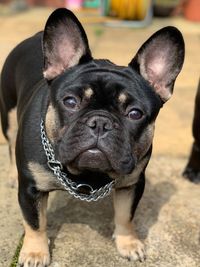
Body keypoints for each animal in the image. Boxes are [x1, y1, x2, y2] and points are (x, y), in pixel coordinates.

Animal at [0, 8, 184, 267]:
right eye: (70, 102)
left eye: (135, 113)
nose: (100, 122)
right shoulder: (30, 189)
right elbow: (35, 222)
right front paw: (35, 252)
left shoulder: (132, 184)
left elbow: (126, 215)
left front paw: (128, 243)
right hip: (8, 116)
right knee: (8, 143)